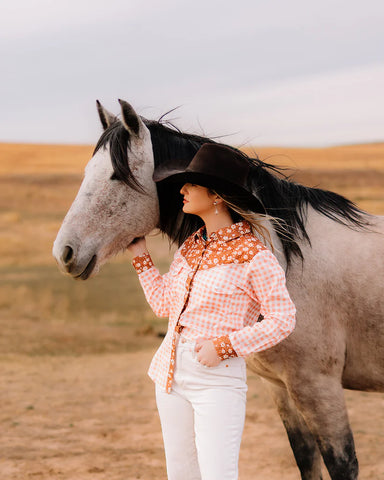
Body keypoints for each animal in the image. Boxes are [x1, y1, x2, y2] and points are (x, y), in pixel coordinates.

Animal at [51, 99, 384, 478]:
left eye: (116, 176)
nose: (64, 252)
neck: (288, 258)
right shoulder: (280, 387)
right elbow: (306, 459)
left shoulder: (318, 386)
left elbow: (341, 463)